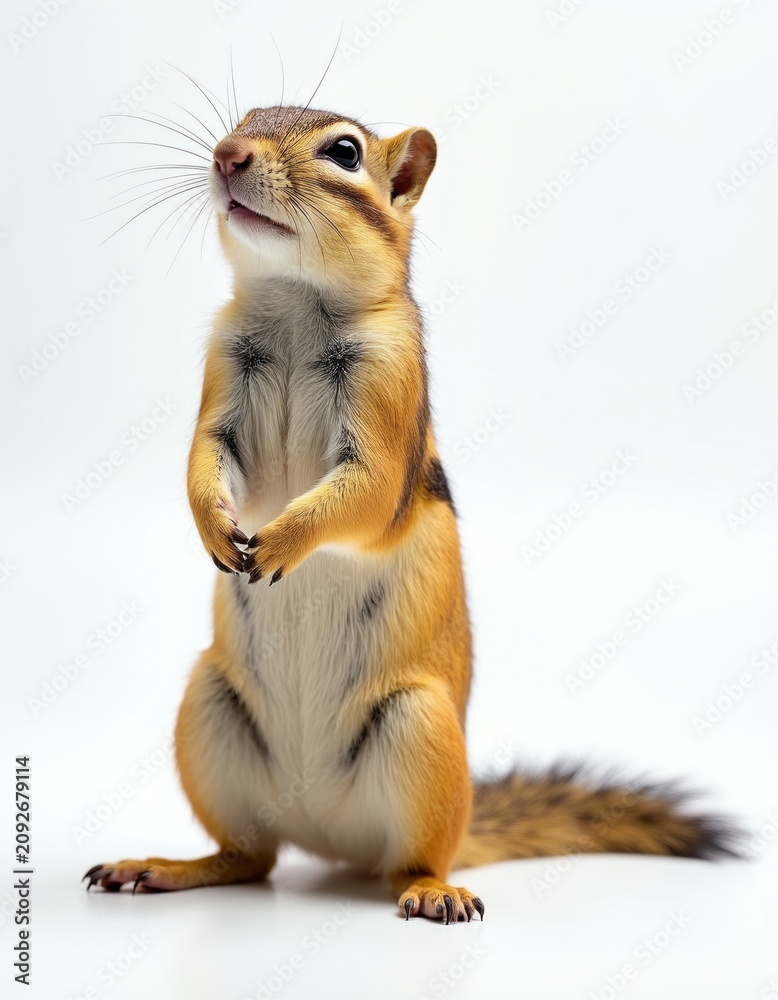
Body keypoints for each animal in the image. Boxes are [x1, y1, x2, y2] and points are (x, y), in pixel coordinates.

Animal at [84, 104, 739, 922]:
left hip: (418, 729)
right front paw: (214, 525)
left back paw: (434, 892)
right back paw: (164, 866)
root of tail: (324, 834)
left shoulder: (388, 398)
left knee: (408, 861)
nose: (228, 153)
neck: (294, 304)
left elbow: (364, 493)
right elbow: (204, 462)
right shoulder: (221, 375)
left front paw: (282, 540)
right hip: (209, 705)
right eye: (242, 119)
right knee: (249, 859)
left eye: (344, 152)